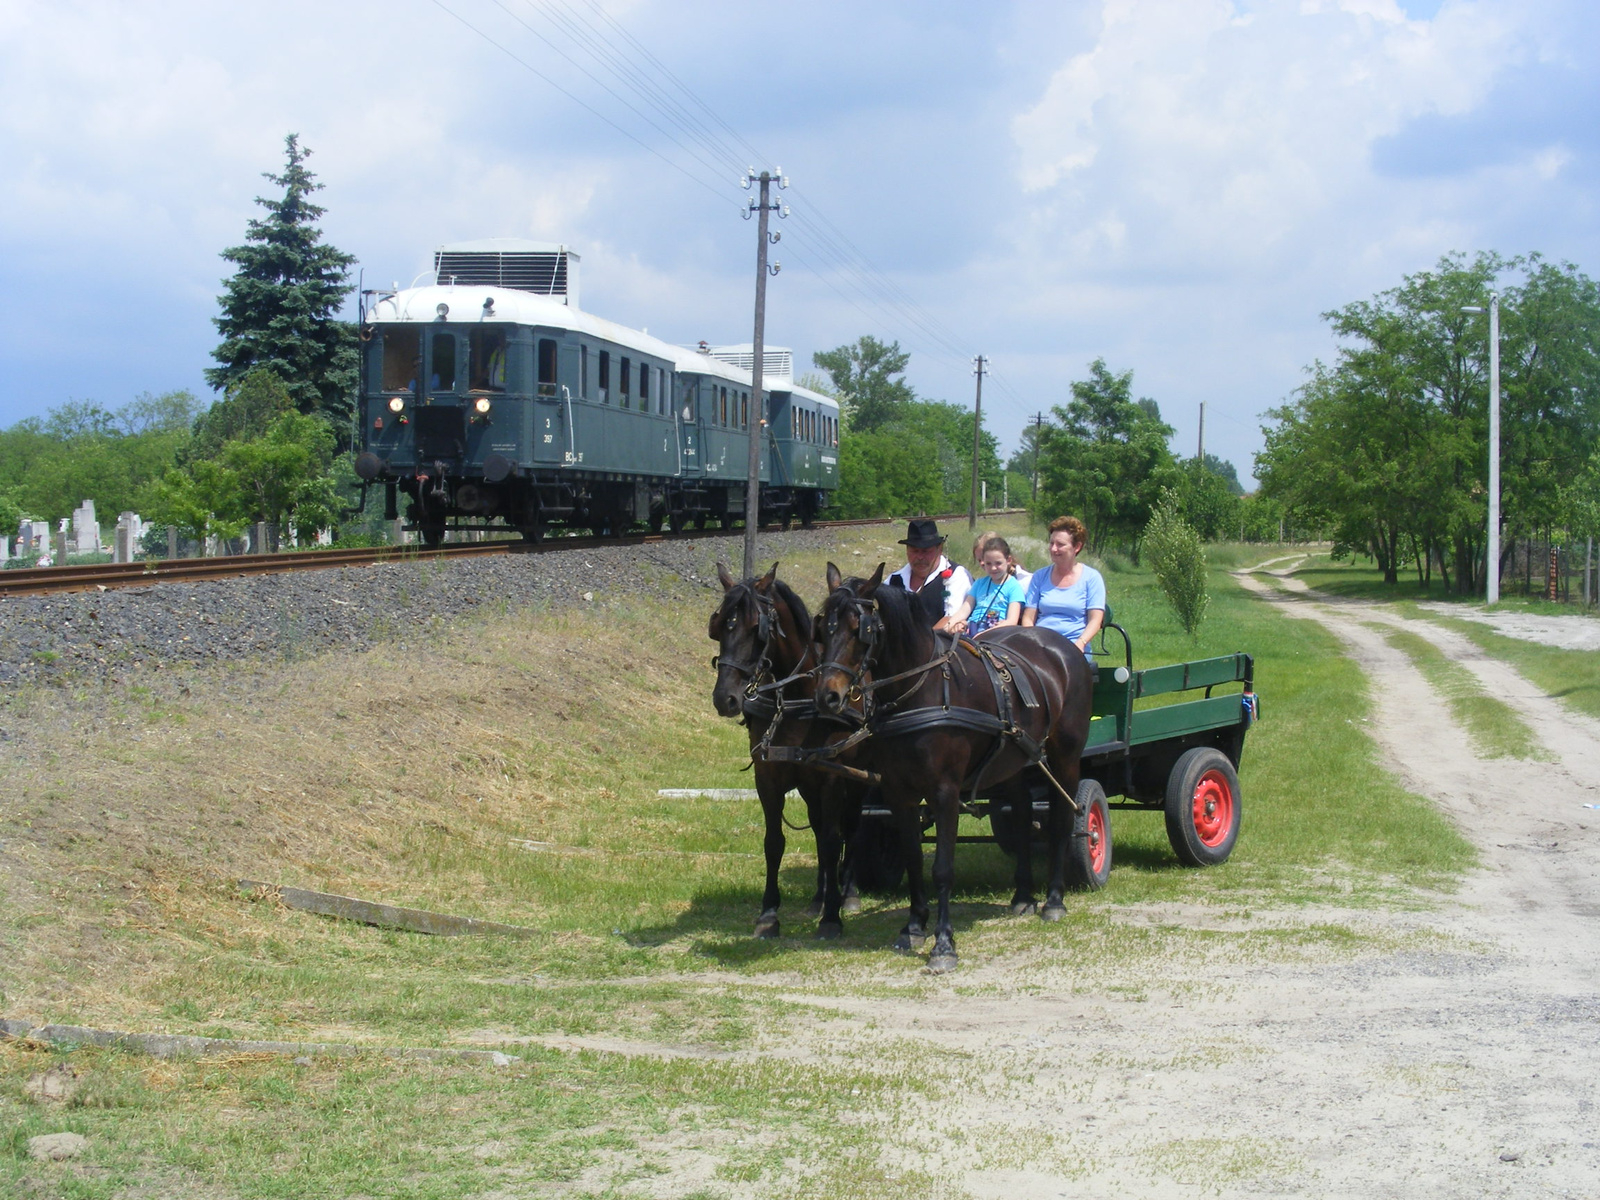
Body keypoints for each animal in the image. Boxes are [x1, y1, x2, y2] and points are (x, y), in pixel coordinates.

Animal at [713, 563, 864, 940]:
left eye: (757, 628)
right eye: (719, 625)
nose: (725, 698)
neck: (797, 699)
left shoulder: (831, 779)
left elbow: (832, 840)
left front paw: (832, 918)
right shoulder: (767, 778)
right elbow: (774, 842)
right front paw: (769, 914)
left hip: (856, 781)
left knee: (851, 826)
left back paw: (849, 894)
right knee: (819, 827)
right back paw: (819, 897)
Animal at [812, 566, 1100, 979]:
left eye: (859, 629)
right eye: (822, 628)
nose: (827, 697)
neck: (921, 691)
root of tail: (1061, 646)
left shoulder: (944, 792)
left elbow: (942, 869)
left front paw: (943, 944)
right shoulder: (899, 790)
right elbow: (914, 857)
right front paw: (914, 926)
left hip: (1066, 756)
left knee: (1062, 818)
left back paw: (1054, 900)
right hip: (1012, 761)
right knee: (1023, 814)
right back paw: (1023, 895)